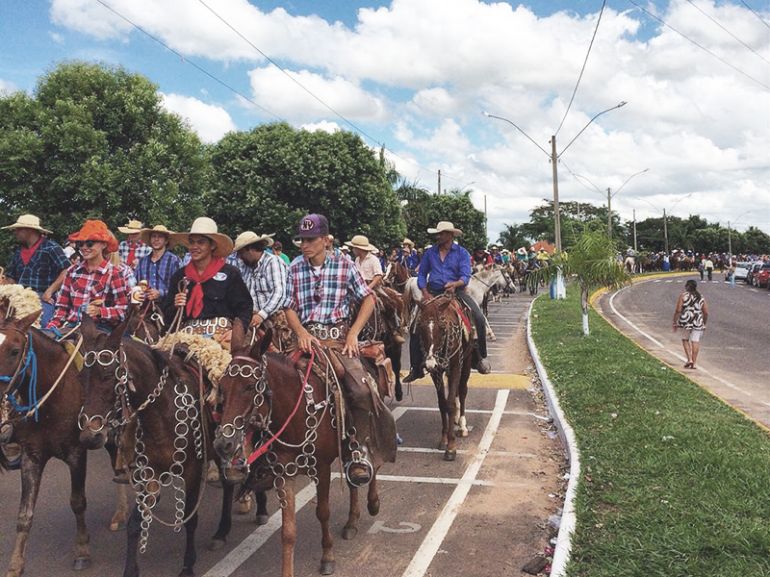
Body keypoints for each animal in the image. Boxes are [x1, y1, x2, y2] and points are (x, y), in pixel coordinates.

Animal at [0, 300, 126, 576]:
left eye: (14, 351)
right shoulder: (31, 456)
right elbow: (24, 515)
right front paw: (16, 564)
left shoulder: (76, 452)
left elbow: (77, 502)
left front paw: (82, 551)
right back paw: (120, 515)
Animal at [77, 316, 248, 576]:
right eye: (81, 378)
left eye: (107, 377)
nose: (89, 436)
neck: (161, 412)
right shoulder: (148, 471)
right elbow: (135, 522)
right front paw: (130, 569)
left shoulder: (193, 471)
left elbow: (190, 519)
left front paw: (188, 565)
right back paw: (222, 531)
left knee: (231, 482)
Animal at [213, 336, 384, 572]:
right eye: (221, 387)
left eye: (249, 387)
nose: (224, 443)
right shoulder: (283, 474)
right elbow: (288, 532)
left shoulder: (322, 469)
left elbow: (323, 512)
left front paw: (327, 557)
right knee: (352, 479)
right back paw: (351, 522)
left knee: (370, 463)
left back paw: (373, 503)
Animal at [412, 292, 472, 460]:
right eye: (421, 327)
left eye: (442, 327)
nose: (430, 363)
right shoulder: (436, 372)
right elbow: (442, 403)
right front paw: (444, 438)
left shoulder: (457, 366)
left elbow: (450, 403)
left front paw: (451, 447)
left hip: (466, 362)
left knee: (462, 390)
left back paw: (462, 425)